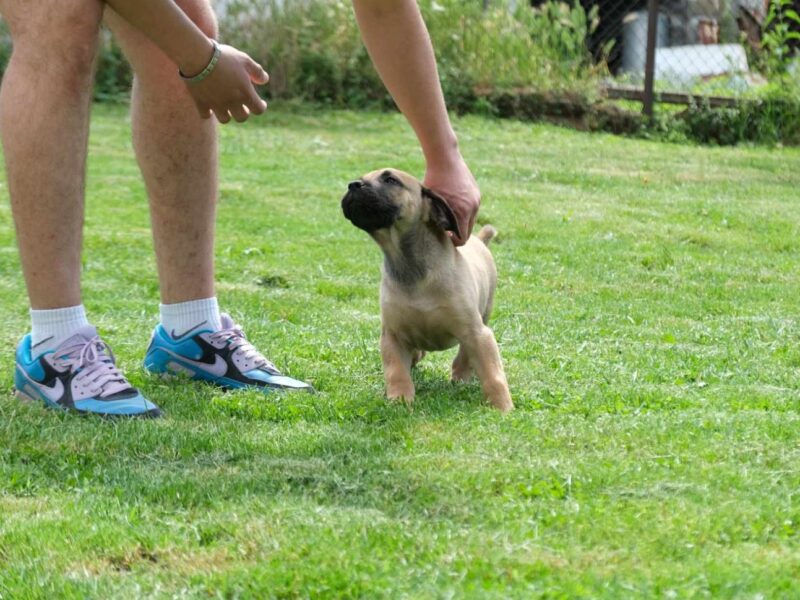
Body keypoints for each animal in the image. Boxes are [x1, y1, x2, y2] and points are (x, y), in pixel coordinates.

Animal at [340, 169, 512, 412]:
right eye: (362, 178)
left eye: (390, 179)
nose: (353, 185)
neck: (411, 267)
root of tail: (479, 240)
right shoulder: (392, 336)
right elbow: (397, 372)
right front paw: (400, 400)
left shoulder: (477, 333)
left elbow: (492, 374)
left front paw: (503, 407)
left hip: (482, 317)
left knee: (464, 356)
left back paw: (461, 376)